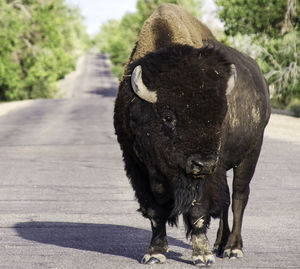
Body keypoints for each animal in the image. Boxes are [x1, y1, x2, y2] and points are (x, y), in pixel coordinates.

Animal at [113, 3, 270, 266]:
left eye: (221, 115)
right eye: (168, 117)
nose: (202, 163)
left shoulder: (205, 176)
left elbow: (198, 211)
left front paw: (202, 256)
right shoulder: (138, 168)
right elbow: (155, 212)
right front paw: (155, 253)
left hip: (249, 154)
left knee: (239, 197)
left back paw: (233, 248)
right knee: (226, 202)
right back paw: (220, 244)